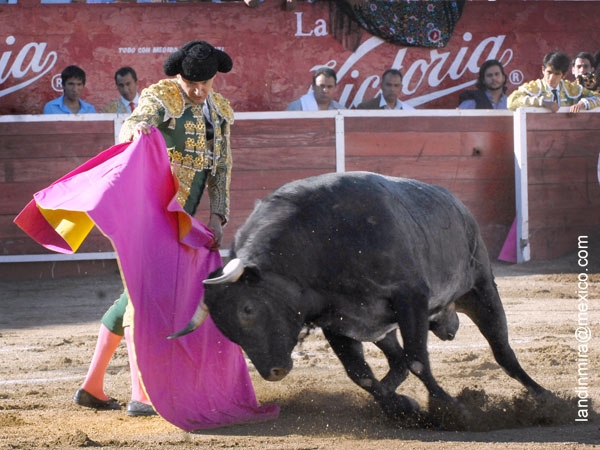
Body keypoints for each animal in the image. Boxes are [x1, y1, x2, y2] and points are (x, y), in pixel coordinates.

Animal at [170, 172, 548, 427]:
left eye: (247, 309)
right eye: (225, 330)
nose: (274, 372)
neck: (320, 243)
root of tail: (456, 202)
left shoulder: (411, 298)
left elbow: (418, 360)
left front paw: (451, 408)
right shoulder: (337, 323)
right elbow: (362, 374)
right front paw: (402, 407)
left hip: (479, 287)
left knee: (502, 350)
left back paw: (546, 398)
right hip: (381, 326)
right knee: (395, 360)